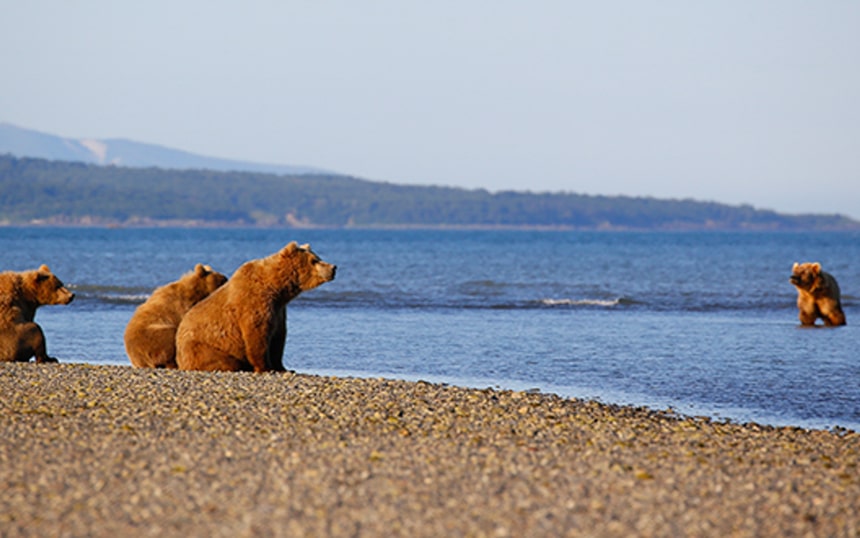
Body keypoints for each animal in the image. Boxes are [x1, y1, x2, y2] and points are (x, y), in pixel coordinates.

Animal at [175, 241, 336, 370]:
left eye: (318, 258)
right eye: (314, 261)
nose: (333, 267)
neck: (276, 288)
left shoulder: (278, 310)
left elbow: (278, 338)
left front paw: (283, 368)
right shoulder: (254, 302)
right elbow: (257, 334)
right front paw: (265, 367)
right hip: (204, 346)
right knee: (222, 360)